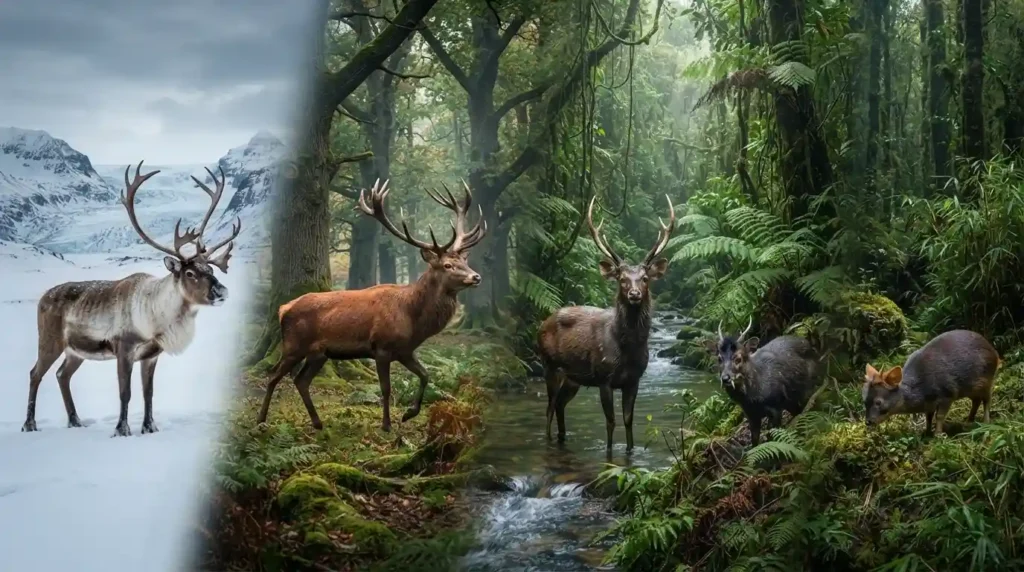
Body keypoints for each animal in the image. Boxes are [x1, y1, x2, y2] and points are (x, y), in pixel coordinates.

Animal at [21, 161, 241, 437]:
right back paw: (30, 424)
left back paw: (75, 421)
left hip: (76, 351)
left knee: (62, 375)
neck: (157, 318)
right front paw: (121, 429)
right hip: (50, 340)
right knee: (35, 373)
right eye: (190, 273)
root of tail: (42, 297)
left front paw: (150, 427)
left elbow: (149, 393)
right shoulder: (124, 348)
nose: (222, 291)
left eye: (210, 269)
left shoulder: (151, 355)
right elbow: (124, 393)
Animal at [255, 178, 486, 432]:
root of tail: (283, 309)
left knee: (301, 380)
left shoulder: (405, 350)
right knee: (274, 376)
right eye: (447, 265)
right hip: (294, 344)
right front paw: (387, 424)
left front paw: (409, 414)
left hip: (319, 353)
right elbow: (386, 388)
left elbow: (425, 375)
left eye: (464, 260)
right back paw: (261, 419)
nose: (476, 276)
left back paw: (317, 422)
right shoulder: (381, 347)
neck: (413, 318)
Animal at [538, 195, 676, 452]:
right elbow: (611, 422)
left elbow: (628, 420)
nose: (634, 294)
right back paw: (550, 440)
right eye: (621, 279)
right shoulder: (604, 378)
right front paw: (610, 453)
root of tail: (541, 324)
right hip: (550, 365)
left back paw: (563, 438)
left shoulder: (634, 380)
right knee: (549, 408)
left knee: (560, 405)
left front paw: (630, 451)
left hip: (573, 378)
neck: (627, 349)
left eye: (644, 278)